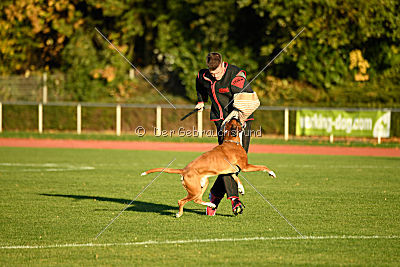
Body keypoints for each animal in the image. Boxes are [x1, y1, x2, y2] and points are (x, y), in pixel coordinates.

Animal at [142, 119, 276, 218]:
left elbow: (236, 179)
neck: (231, 141)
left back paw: (211, 205)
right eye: (236, 121)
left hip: (203, 183)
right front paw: (271, 172)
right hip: (195, 190)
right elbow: (262, 166)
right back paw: (179, 214)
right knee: (182, 201)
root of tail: (184, 170)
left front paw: (241, 189)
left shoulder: (232, 171)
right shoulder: (245, 167)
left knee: (197, 200)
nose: (237, 116)